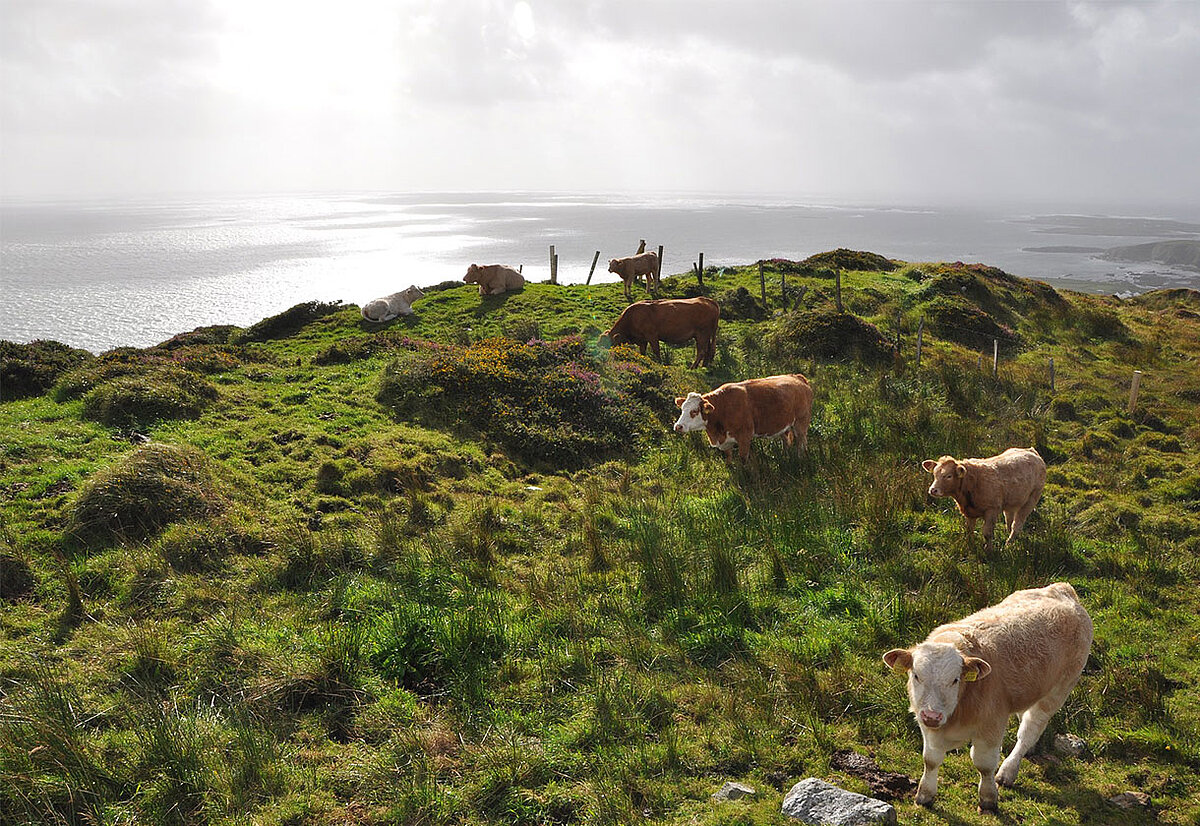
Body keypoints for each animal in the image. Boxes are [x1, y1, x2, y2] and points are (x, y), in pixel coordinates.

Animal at [676, 372, 816, 458]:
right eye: (682, 409)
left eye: (694, 411)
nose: (678, 426)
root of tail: (798, 377)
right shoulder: (726, 443)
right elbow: (729, 459)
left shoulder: (744, 437)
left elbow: (744, 461)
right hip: (784, 426)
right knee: (787, 441)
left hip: (801, 423)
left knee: (802, 443)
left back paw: (800, 459)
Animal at [883, 581, 1099, 811]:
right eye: (916, 675)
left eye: (955, 680)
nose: (932, 716)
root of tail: (1062, 588)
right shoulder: (927, 724)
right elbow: (931, 759)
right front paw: (925, 794)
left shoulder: (991, 724)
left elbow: (984, 764)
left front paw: (988, 798)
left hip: (1059, 690)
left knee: (1029, 730)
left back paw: (1008, 771)